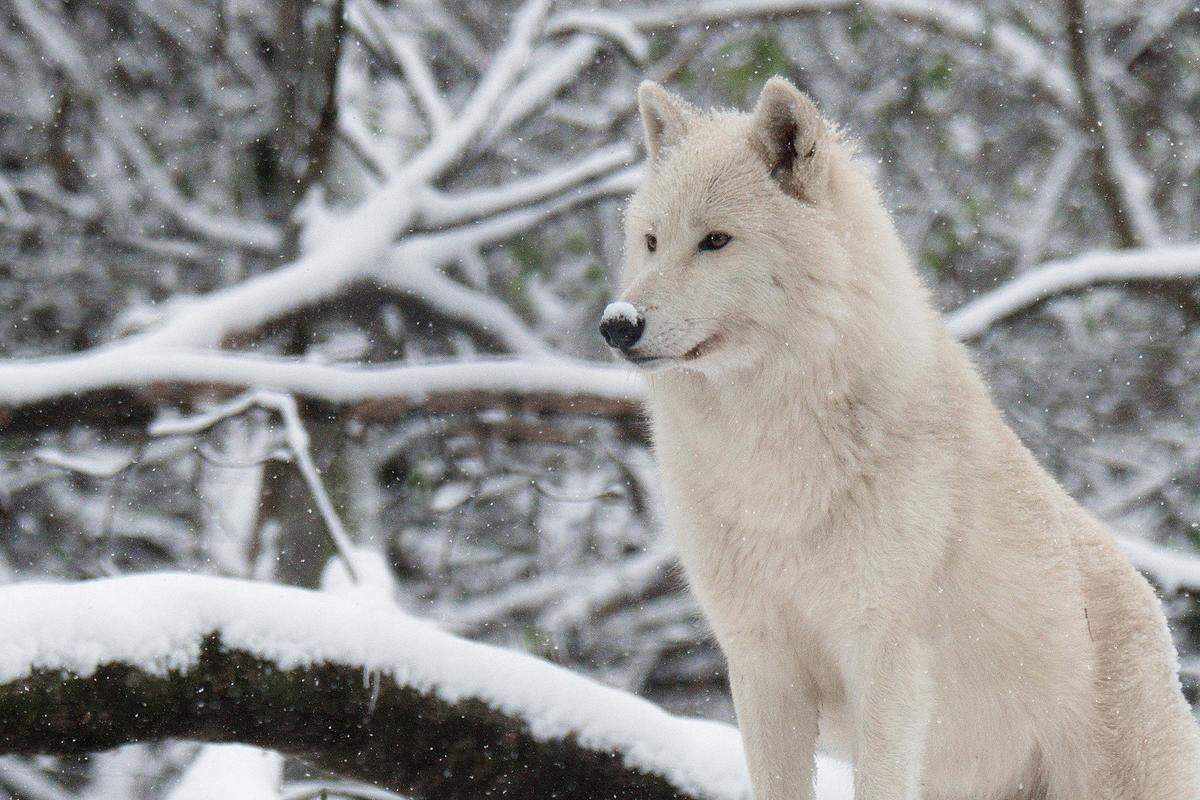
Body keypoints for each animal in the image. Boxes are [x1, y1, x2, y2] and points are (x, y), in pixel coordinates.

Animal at [604, 77, 1200, 800]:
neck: (771, 461)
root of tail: (1159, 631)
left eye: (716, 240)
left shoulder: (887, 664)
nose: (618, 323)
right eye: (651, 240)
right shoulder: (761, 667)